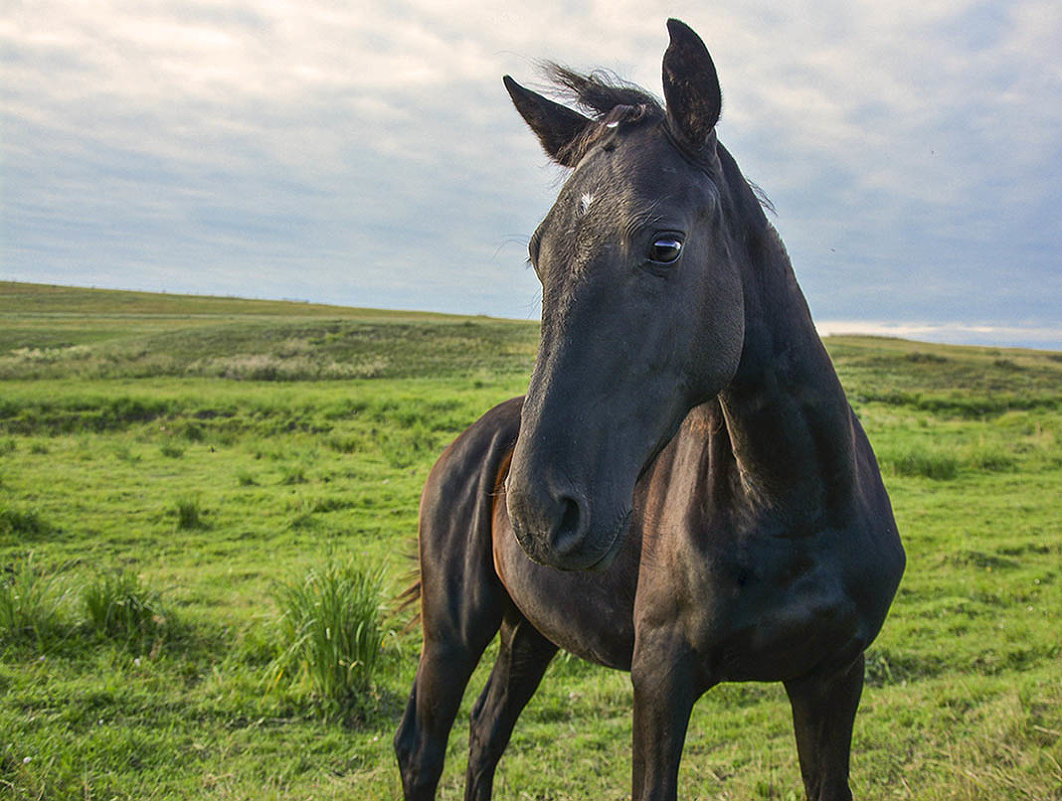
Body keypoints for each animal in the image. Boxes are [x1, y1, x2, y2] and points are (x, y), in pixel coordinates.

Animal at [395, 20, 909, 798]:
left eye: (665, 245)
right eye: (539, 255)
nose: (539, 511)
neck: (793, 506)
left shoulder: (833, 675)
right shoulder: (661, 682)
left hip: (530, 629)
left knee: (486, 732)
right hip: (453, 632)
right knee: (424, 748)